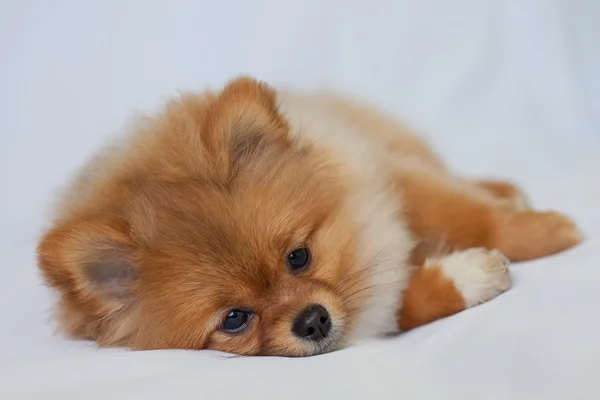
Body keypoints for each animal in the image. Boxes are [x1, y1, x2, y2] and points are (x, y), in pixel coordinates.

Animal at [36, 76, 580, 356]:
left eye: (299, 257)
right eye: (234, 319)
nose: (312, 321)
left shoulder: (387, 176)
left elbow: (465, 213)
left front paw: (545, 233)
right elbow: (400, 303)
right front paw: (470, 274)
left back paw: (507, 190)